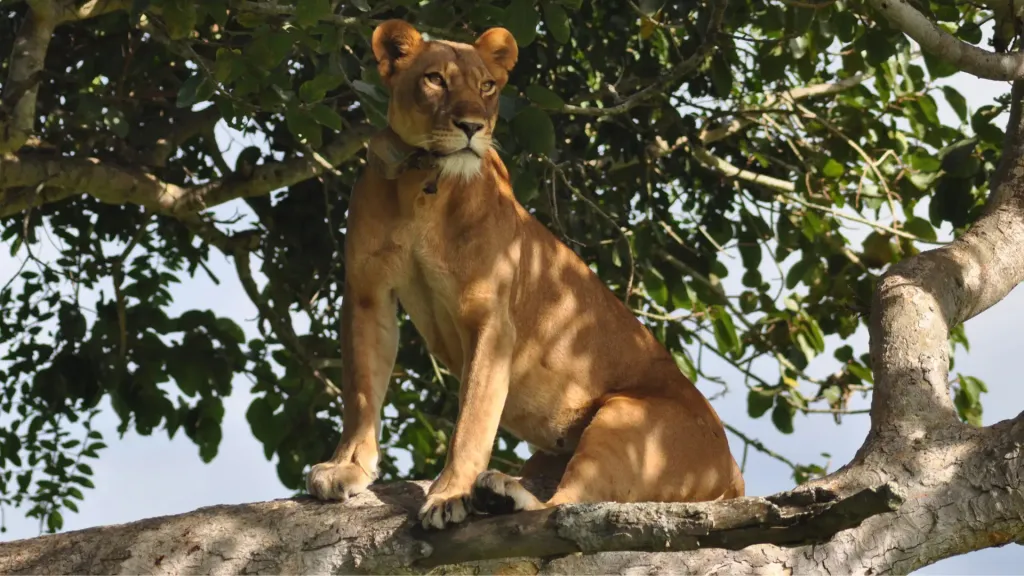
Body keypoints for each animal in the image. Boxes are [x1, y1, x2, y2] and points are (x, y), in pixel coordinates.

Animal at [306, 19, 745, 530]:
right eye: (435, 79)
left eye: (487, 87)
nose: (472, 127)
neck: (424, 186)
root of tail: (733, 472)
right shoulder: (367, 293)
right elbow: (361, 391)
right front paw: (347, 468)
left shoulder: (490, 319)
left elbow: (472, 420)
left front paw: (448, 495)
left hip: (626, 417)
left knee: (567, 507)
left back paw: (498, 494)